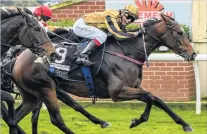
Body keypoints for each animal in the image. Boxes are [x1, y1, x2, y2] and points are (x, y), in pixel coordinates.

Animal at [10, 13, 196, 133]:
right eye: (180, 33)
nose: (193, 54)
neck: (129, 51)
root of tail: (18, 58)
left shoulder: (134, 88)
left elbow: (158, 100)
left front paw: (185, 124)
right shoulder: (117, 92)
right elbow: (150, 96)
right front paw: (137, 121)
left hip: (35, 94)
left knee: (15, 118)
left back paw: (102, 122)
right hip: (45, 89)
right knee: (56, 119)